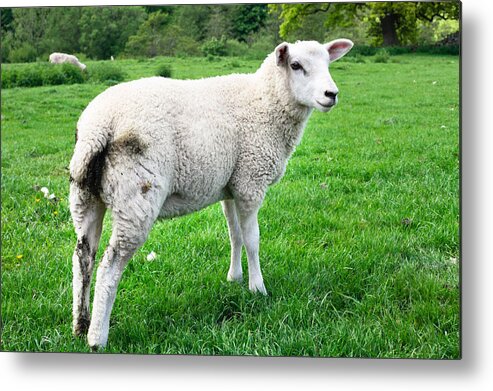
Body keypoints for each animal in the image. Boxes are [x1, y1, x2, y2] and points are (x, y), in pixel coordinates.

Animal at [69, 38, 354, 350]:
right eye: (296, 65)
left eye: (328, 63)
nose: (332, 94)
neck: (265, 102)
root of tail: (99, 127)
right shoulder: (251, 181)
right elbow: (252, 239)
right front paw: (258, 288)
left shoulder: (231, 186)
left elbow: (235, 235)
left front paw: (235, 278)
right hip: (136, 196)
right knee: (110, 265)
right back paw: (97, 337)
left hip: (85, 195)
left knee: (83, 257)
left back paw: (80, 324)